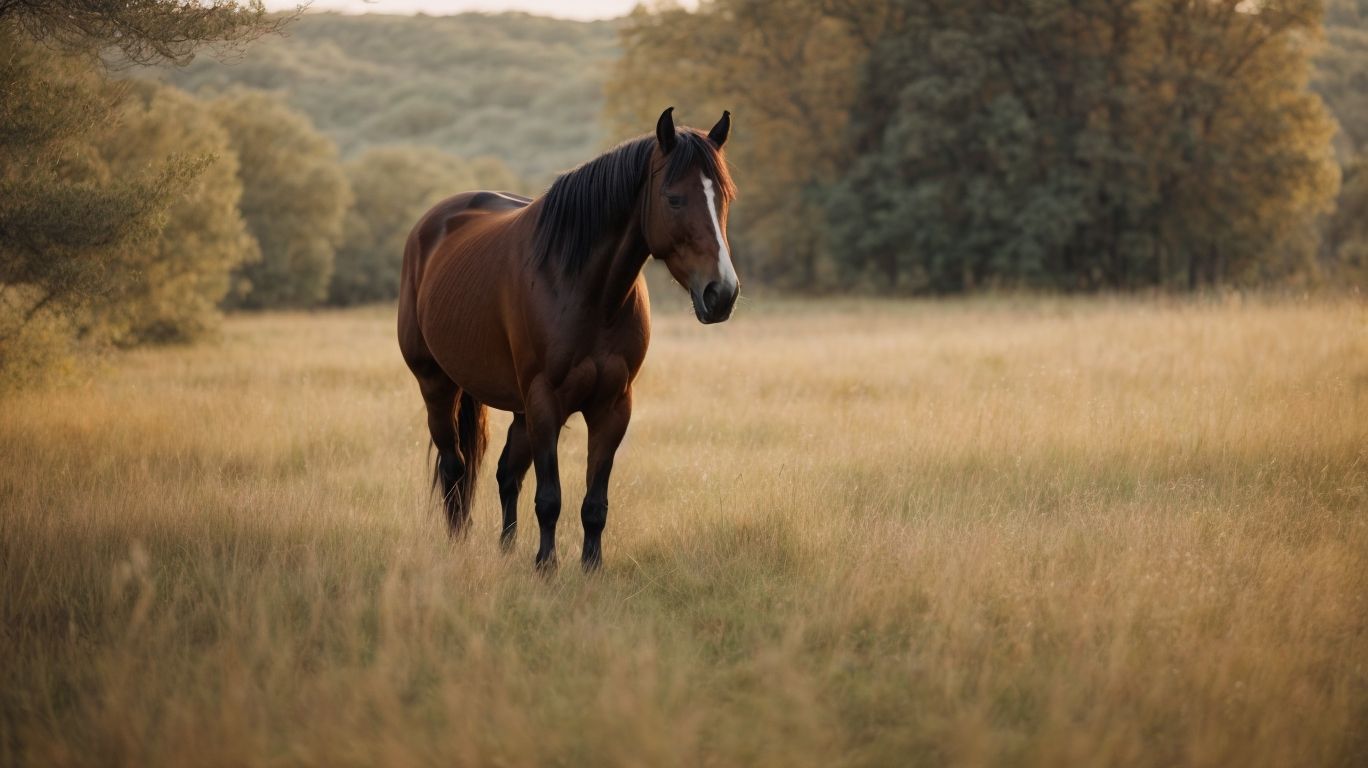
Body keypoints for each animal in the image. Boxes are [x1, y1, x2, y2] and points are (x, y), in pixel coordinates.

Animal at [397, 107, 739, 570]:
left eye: (724, 198)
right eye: (674, 199)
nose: (722, 294)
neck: (586, 291)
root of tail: (431, 225)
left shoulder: (613, 406)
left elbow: (594, 503)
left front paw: (590, 567)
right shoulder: (545, 402)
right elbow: (549, 497)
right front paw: (546, 567)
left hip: (517, 406)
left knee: (505, 473)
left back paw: (506, 549)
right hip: (437, 384)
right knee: (455, 467)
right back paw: (458, 545)